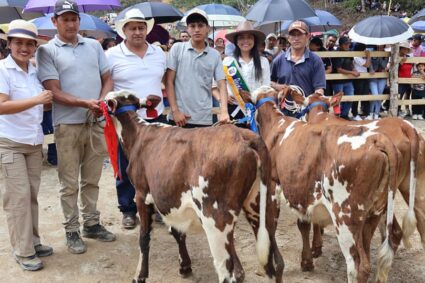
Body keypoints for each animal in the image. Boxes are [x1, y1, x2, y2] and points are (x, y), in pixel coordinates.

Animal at [252, 86, 400, 283]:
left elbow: (271, 225)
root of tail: (376, 140)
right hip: (374, 213)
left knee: (355, 265)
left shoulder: (273, 186)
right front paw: (307, 260)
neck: (277, 124)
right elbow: (304, 224)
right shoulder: (303, 194)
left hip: (345, 217)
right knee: (367, 261)